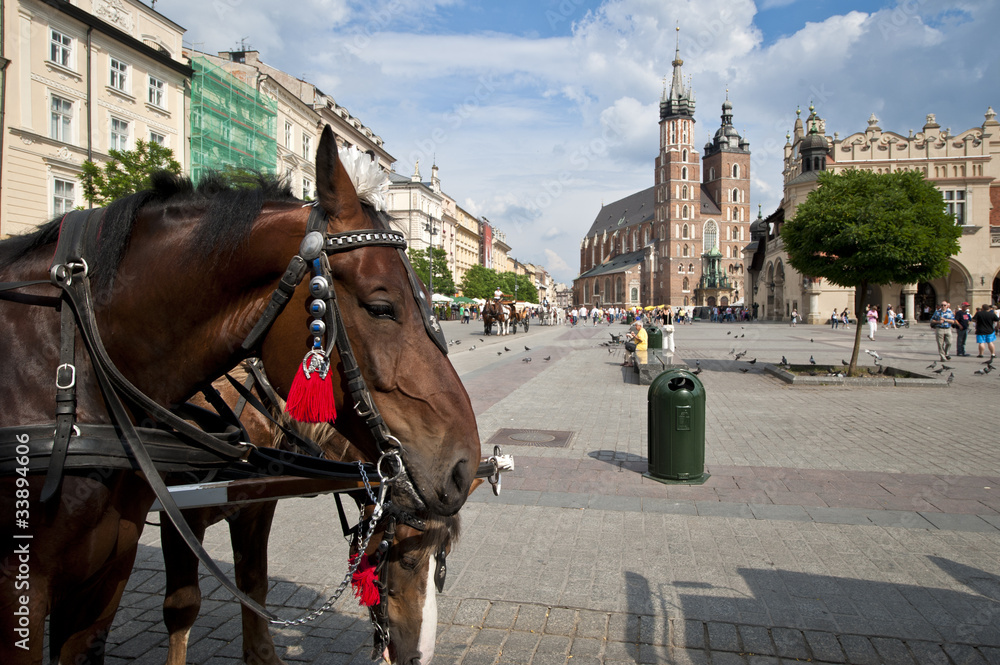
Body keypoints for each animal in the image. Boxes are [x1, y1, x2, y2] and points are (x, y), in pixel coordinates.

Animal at [163, 368, 475, 665]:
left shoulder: (255, 507)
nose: (420, 657)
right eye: (409, 561)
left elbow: (253, 584)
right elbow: (183, 607)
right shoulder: (181, 513)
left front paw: (262, 654)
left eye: (443, 560)